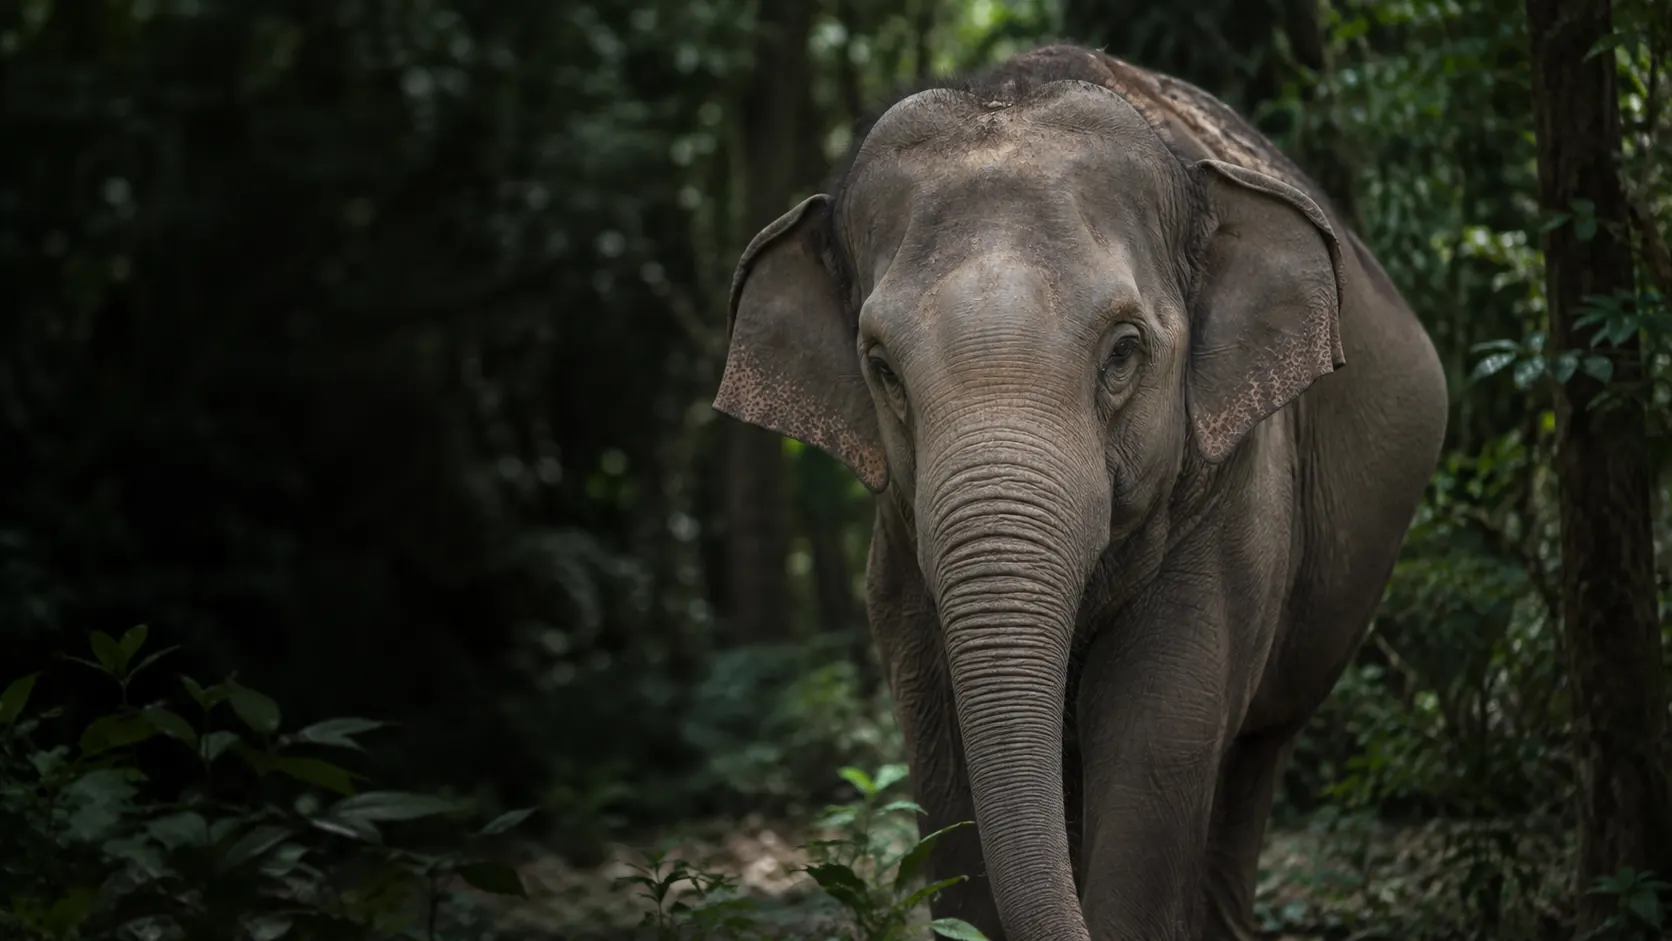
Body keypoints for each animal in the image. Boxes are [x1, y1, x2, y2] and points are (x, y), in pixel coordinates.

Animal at [711, 44, 1448, 941]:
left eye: (1124, 351)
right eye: (881, 367)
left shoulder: (1238, 490)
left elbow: (1153, 733)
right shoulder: (899, 542)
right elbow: (942, 752)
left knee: (1252, 759)